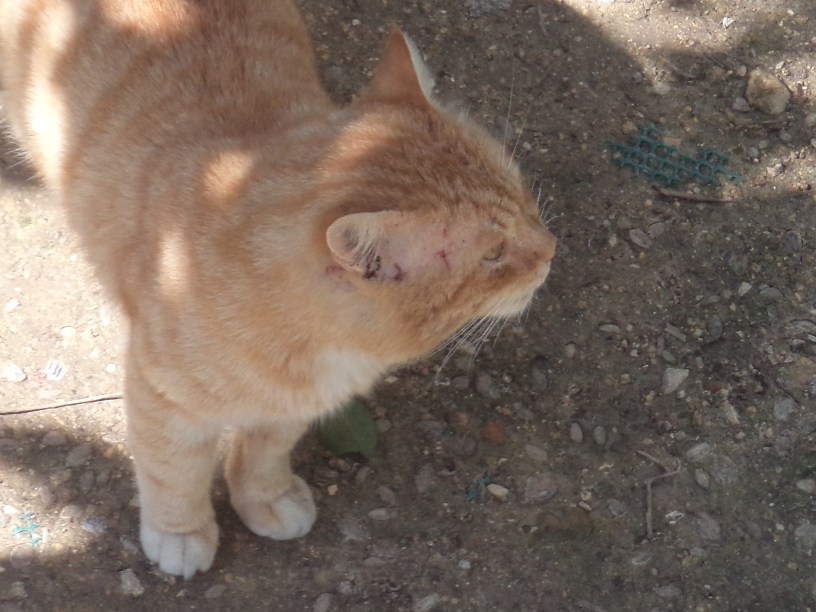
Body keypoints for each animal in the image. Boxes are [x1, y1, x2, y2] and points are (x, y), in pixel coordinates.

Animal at [0, 0, 556, 578]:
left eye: (525, 197)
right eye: (494, 254)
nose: (551, 249)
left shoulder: (295, 405)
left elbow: (267, 449)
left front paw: (265, 495)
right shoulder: (163, 400)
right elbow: (172, 470)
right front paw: (180, 531)